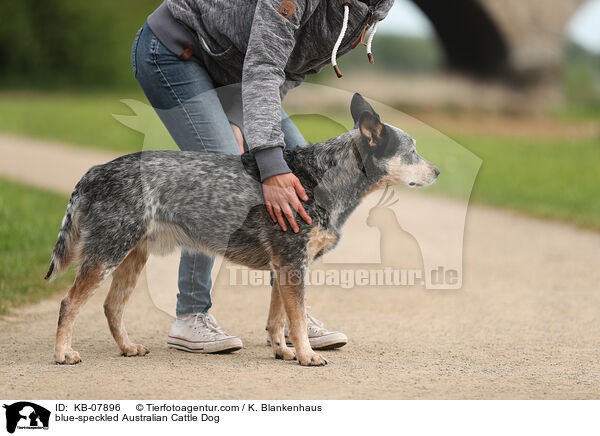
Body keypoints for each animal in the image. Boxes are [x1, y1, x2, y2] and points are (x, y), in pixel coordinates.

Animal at [45, 93, 436, 366]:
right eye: (412, 151)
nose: (438, 171)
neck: (322, 178)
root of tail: (94, 172)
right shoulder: (292, 263)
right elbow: (295, 318)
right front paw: (307, 355)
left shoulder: (283, 267)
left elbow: (278, 320)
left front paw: (284, 352)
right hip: (106, 254)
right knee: (69, 303)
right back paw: (63, 353)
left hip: (131, 256)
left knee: (112, 306)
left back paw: (127, 347)